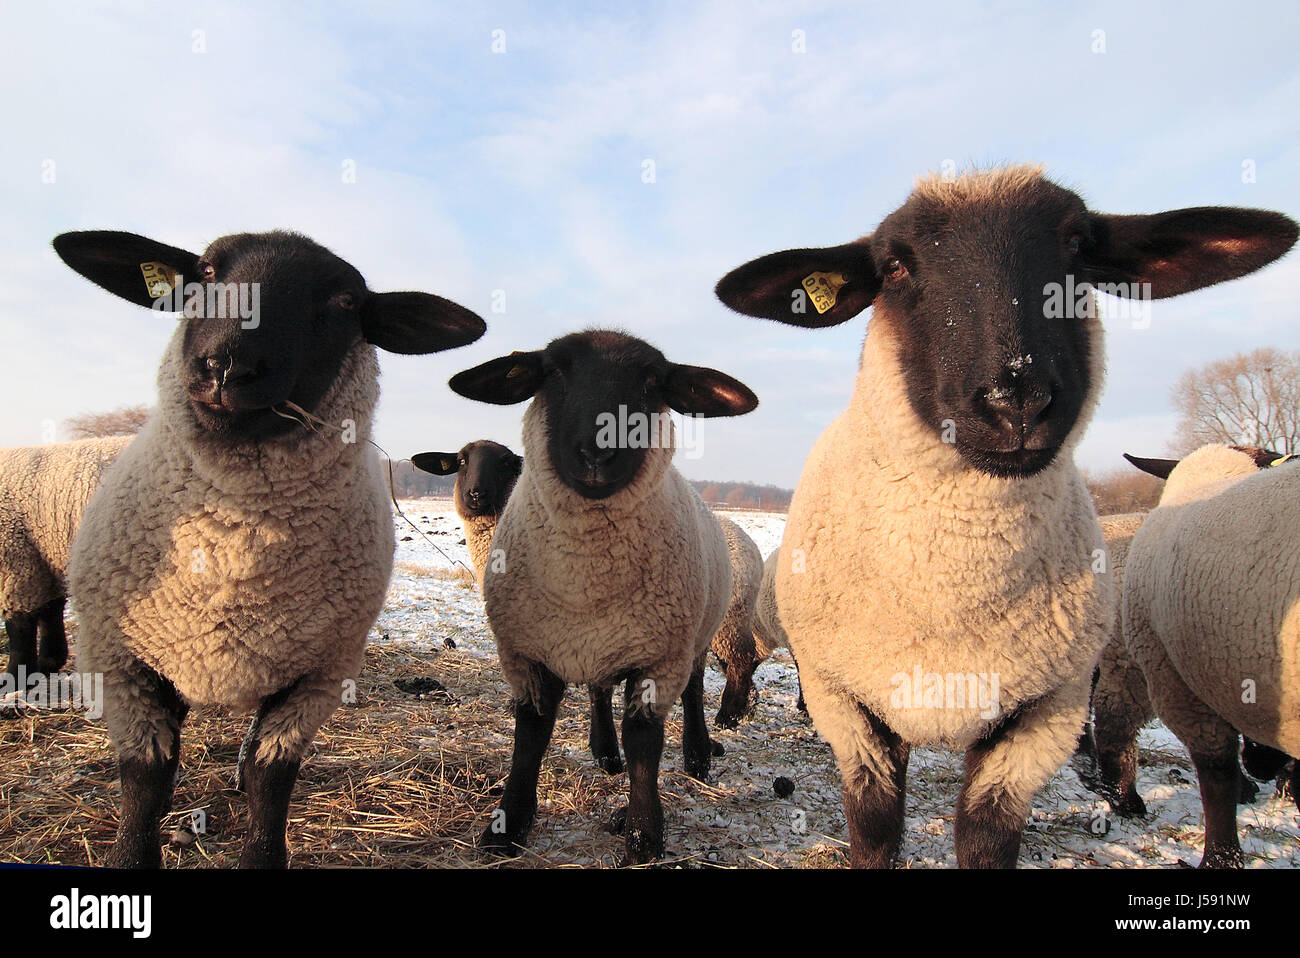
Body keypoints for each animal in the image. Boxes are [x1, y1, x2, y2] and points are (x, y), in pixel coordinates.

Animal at [1, 435, 131, 683]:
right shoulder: (43, 561)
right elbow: (50, 611)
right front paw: (48, 663)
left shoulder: (17, 561)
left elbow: (20, 625)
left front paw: (14, 675)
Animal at [54, 229, 486, 868]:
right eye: (207, 272)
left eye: (344, 301)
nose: (227, 364)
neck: (235, 556)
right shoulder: (121, 660)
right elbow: (145, 775)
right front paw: (131, 855)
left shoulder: (317, 674)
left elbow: (270, 778)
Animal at [447, 329, 757, 863]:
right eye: (553, 370)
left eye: (653, 382)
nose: (597, 450)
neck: (584, 583)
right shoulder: (525, 651)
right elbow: (530, 736)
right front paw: (507, 827)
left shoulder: (659, 657)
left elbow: (645, 743)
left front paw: (643, 835)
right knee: (599, 689)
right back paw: (604, 750)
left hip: (698, 634)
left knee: (695, 688)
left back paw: (697, 753)